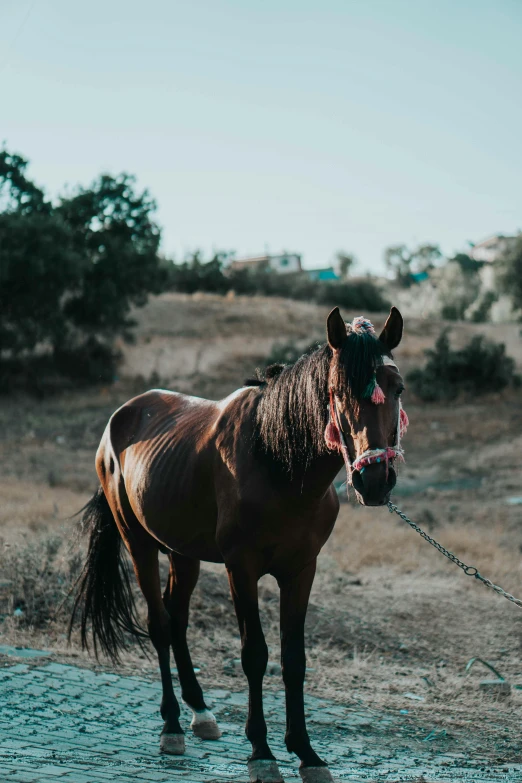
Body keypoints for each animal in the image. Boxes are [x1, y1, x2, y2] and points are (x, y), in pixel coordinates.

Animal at [70, 306, 402, 783]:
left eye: (398, 388)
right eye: (338, 391)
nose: (374, 480)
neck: (278, 461)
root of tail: (121, 417)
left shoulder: (301, 570)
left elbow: (294, 658)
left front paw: (307, 753)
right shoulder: (240, 569)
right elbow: (254, 655)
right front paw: (261, 752)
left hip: (183, 553)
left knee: (177, 619)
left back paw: (201, 713)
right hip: (139, 544)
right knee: (158, 624)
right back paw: (172, 725)